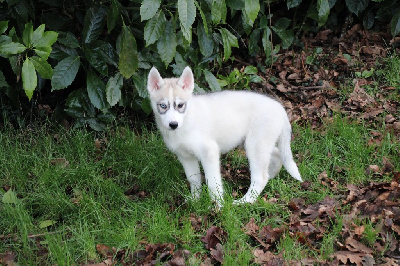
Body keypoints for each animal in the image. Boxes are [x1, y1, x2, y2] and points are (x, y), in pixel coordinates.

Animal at [148, 66, 304, 206]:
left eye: (180, 105)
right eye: (163, 106)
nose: (173, 124)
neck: (185, 122)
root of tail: (279, 107)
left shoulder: (209, 151)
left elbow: (213, 181)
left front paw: (218, 205)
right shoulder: (185, 156)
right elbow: (194, 179)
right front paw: (195, 200)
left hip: (255, 145)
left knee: (260, 177)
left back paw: (245, 201)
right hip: (253, 143)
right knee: (276, 154)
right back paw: (271, 175)